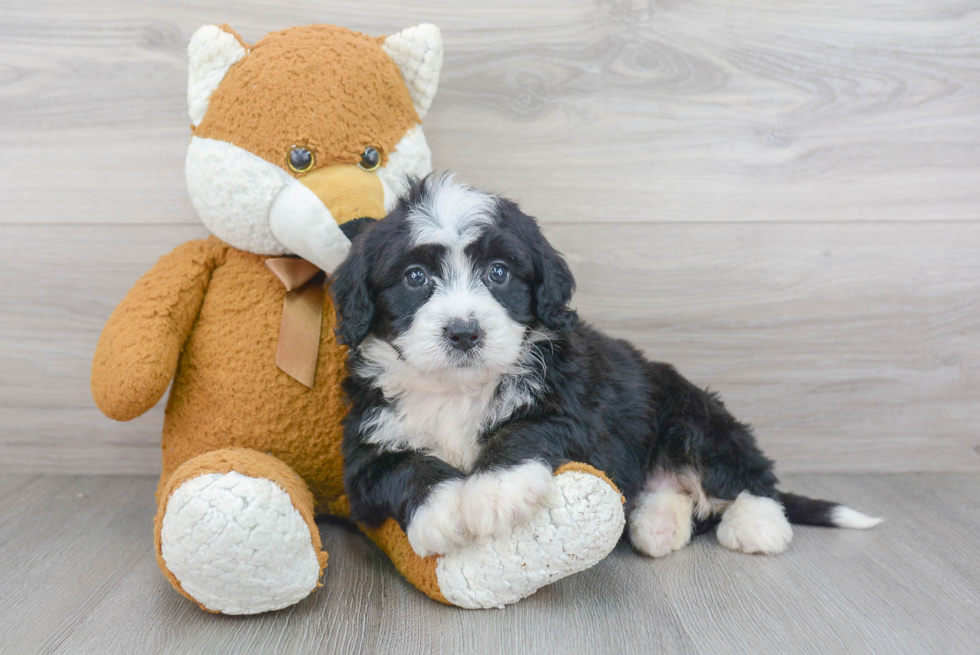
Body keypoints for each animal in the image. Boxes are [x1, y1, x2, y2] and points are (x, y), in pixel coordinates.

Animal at [334, 173, 884, 560]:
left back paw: (756, 525)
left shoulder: (573, 406)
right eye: (414, 276)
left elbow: (527, 430)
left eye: (499, 273)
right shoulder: (368, 444)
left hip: (690, 411)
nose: (465, 332)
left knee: (746, 471)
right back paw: (657, 523)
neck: (459, 389)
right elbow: (402, 467)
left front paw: (493, 491)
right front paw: (446, 508)